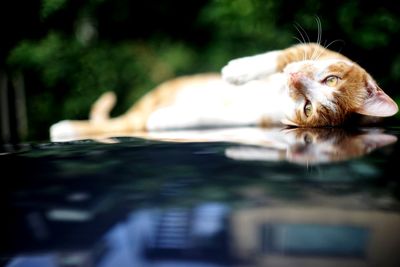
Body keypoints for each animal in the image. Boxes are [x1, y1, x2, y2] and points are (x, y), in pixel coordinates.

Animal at [49, 43, 396, 142]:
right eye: (331, 79)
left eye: (308, 108)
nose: (295, 78)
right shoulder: (310, 50)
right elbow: (277, 56)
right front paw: (238, 70)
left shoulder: (258, 119)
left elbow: (215, 119)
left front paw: (166, 121)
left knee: (124, 123)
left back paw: (64, 128)